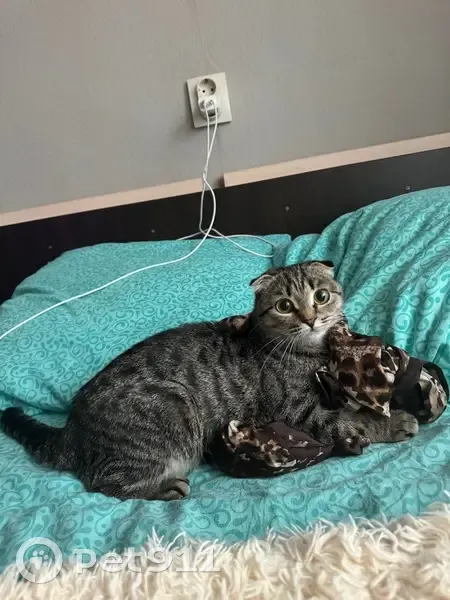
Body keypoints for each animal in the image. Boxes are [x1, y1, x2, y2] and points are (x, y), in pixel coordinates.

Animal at [1, 261, 418, 501]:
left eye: (321, 296)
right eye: (285, 305)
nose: (311, 318)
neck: (306, 353)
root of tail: (71, 430)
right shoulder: (299, 412)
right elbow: (348, 419)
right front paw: (393, 421)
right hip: (172, 407)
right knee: (102, 482)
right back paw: (165, 487)